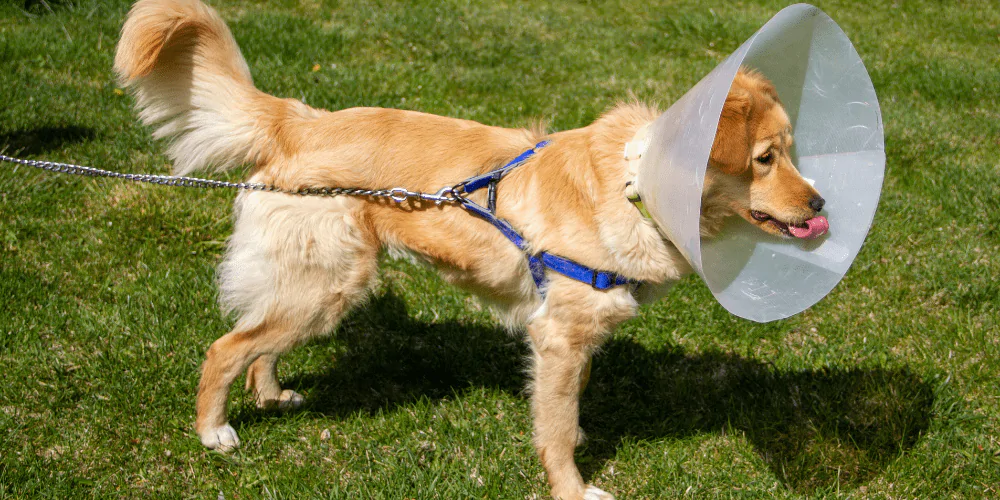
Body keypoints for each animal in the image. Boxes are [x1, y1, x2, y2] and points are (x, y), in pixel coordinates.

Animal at [113, 1, 824, 498]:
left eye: (793, 151)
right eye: (765, 159)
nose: (820, 206)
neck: (635, 188)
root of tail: (300, 120)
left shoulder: (570, 336)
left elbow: (566, 405)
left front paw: (573, 434)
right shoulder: (559, 334)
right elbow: (557, 429)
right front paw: (572, 484)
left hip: (317, 287)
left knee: (257, 343)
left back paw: (270, 395)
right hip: (328, 284)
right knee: (225, 347)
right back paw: (214, 432)